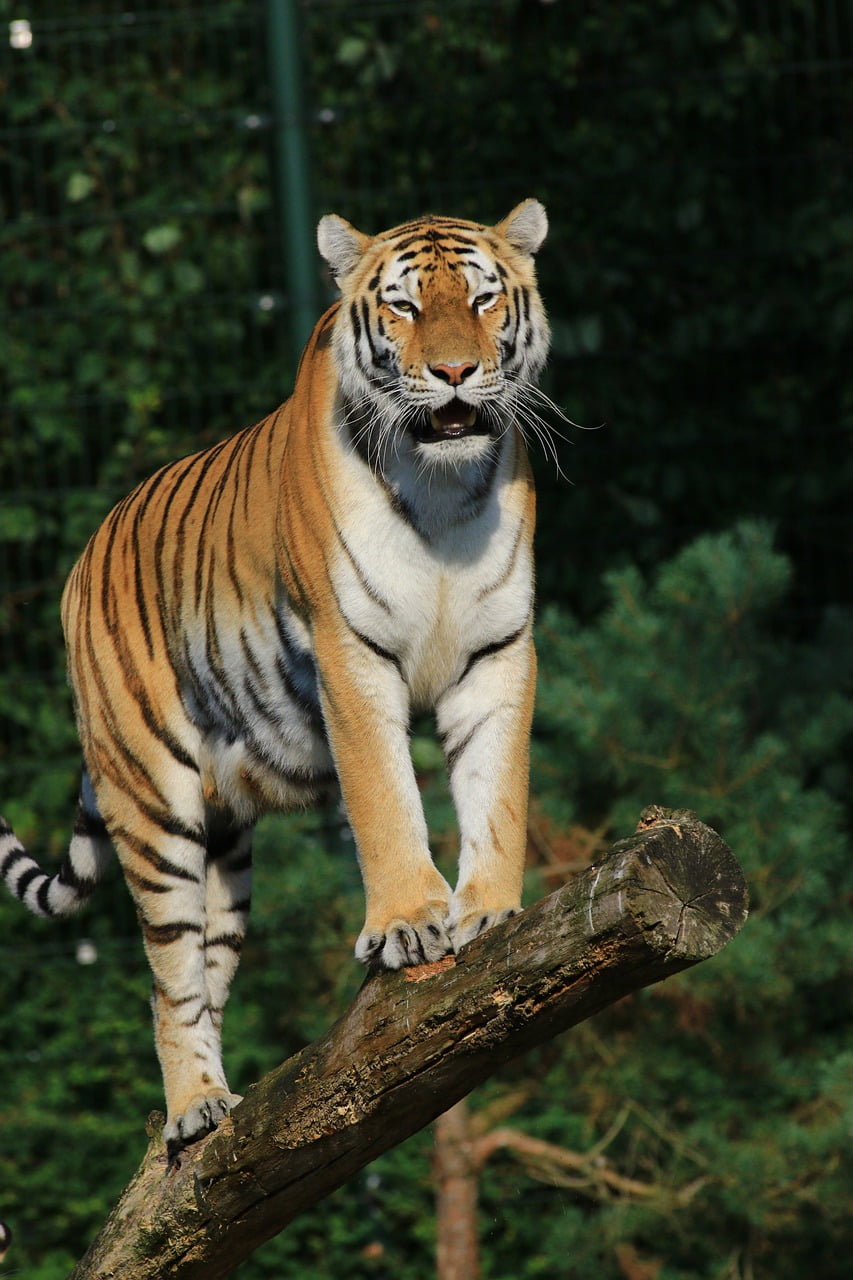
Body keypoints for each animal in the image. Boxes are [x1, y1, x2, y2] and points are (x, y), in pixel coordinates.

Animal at [1, 199, 551, 1160]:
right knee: (168, 979)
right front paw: (409, 924)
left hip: (226, 849)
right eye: (405, 307)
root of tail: (78, 567)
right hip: (153, 802)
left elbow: (497, 792)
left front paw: (489, 911)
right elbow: (385, 801)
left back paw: (215, 1116)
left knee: (206, 975)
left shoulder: (497, 652)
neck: (444, 493)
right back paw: (194, 1110)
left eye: (483, 299)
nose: (453, 372)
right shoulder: (348, 656)